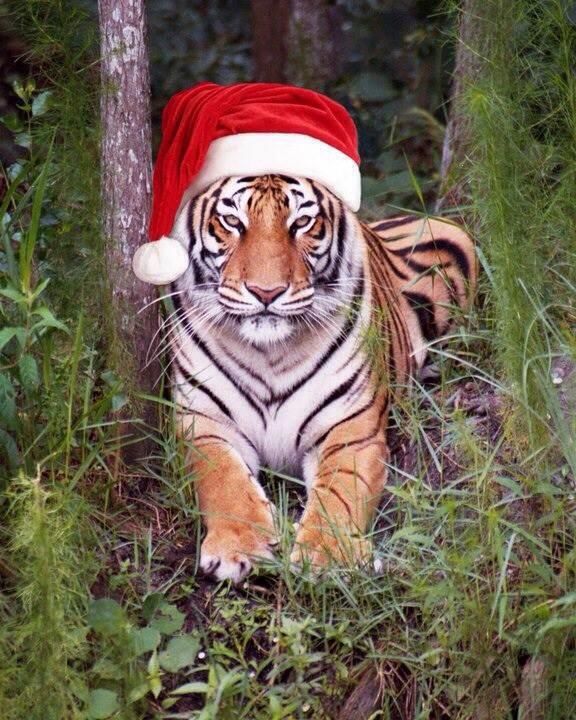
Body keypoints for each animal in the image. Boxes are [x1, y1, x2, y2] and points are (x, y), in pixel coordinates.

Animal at [168, 174, 476, 582]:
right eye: (232, 221)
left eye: (302, 223)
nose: (266, 292)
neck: (269, 353)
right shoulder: (202, 424)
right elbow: (223, 480)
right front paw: (239, 545)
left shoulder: (351, 430)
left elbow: (340, 490)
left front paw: (330, 555)